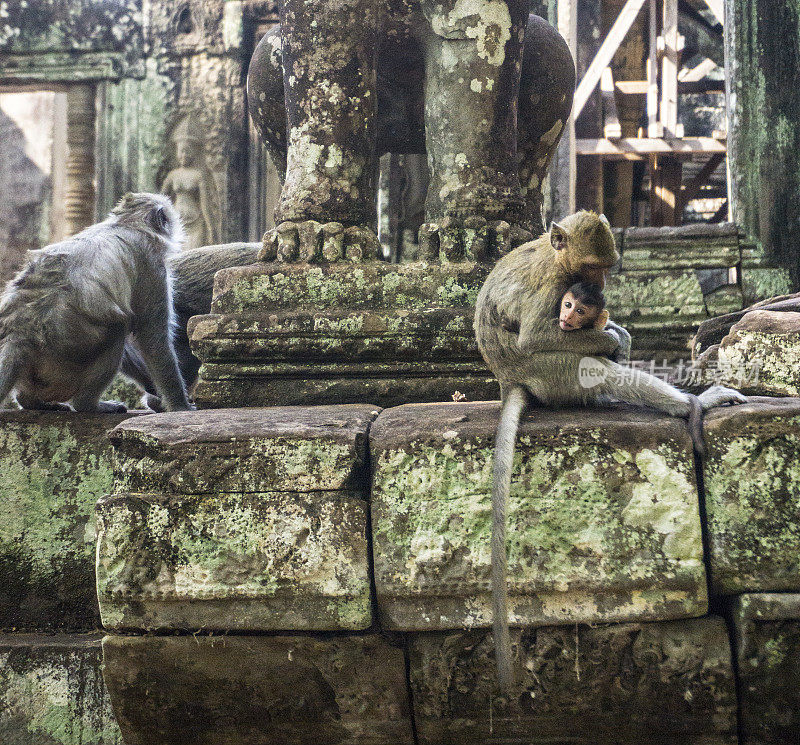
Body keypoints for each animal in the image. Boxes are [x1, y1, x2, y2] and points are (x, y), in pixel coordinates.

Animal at [0, 192, 193, 412]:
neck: (127, 223)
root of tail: (21, 333)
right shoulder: (152, 264)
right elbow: (153, 339)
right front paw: (180, 405)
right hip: (66, 359)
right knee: (117, 328)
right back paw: (87, 405)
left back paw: (30, 401)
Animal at [472, 211, 748, 696]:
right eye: (589, 267)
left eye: (604, 268)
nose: (597, 285)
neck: (556, 258)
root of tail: (509, 381)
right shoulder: (552, 287)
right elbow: (536, 335)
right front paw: (609, 337)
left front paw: (615, 330)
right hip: (549, 373)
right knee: (585, 365)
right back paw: (688, 404)